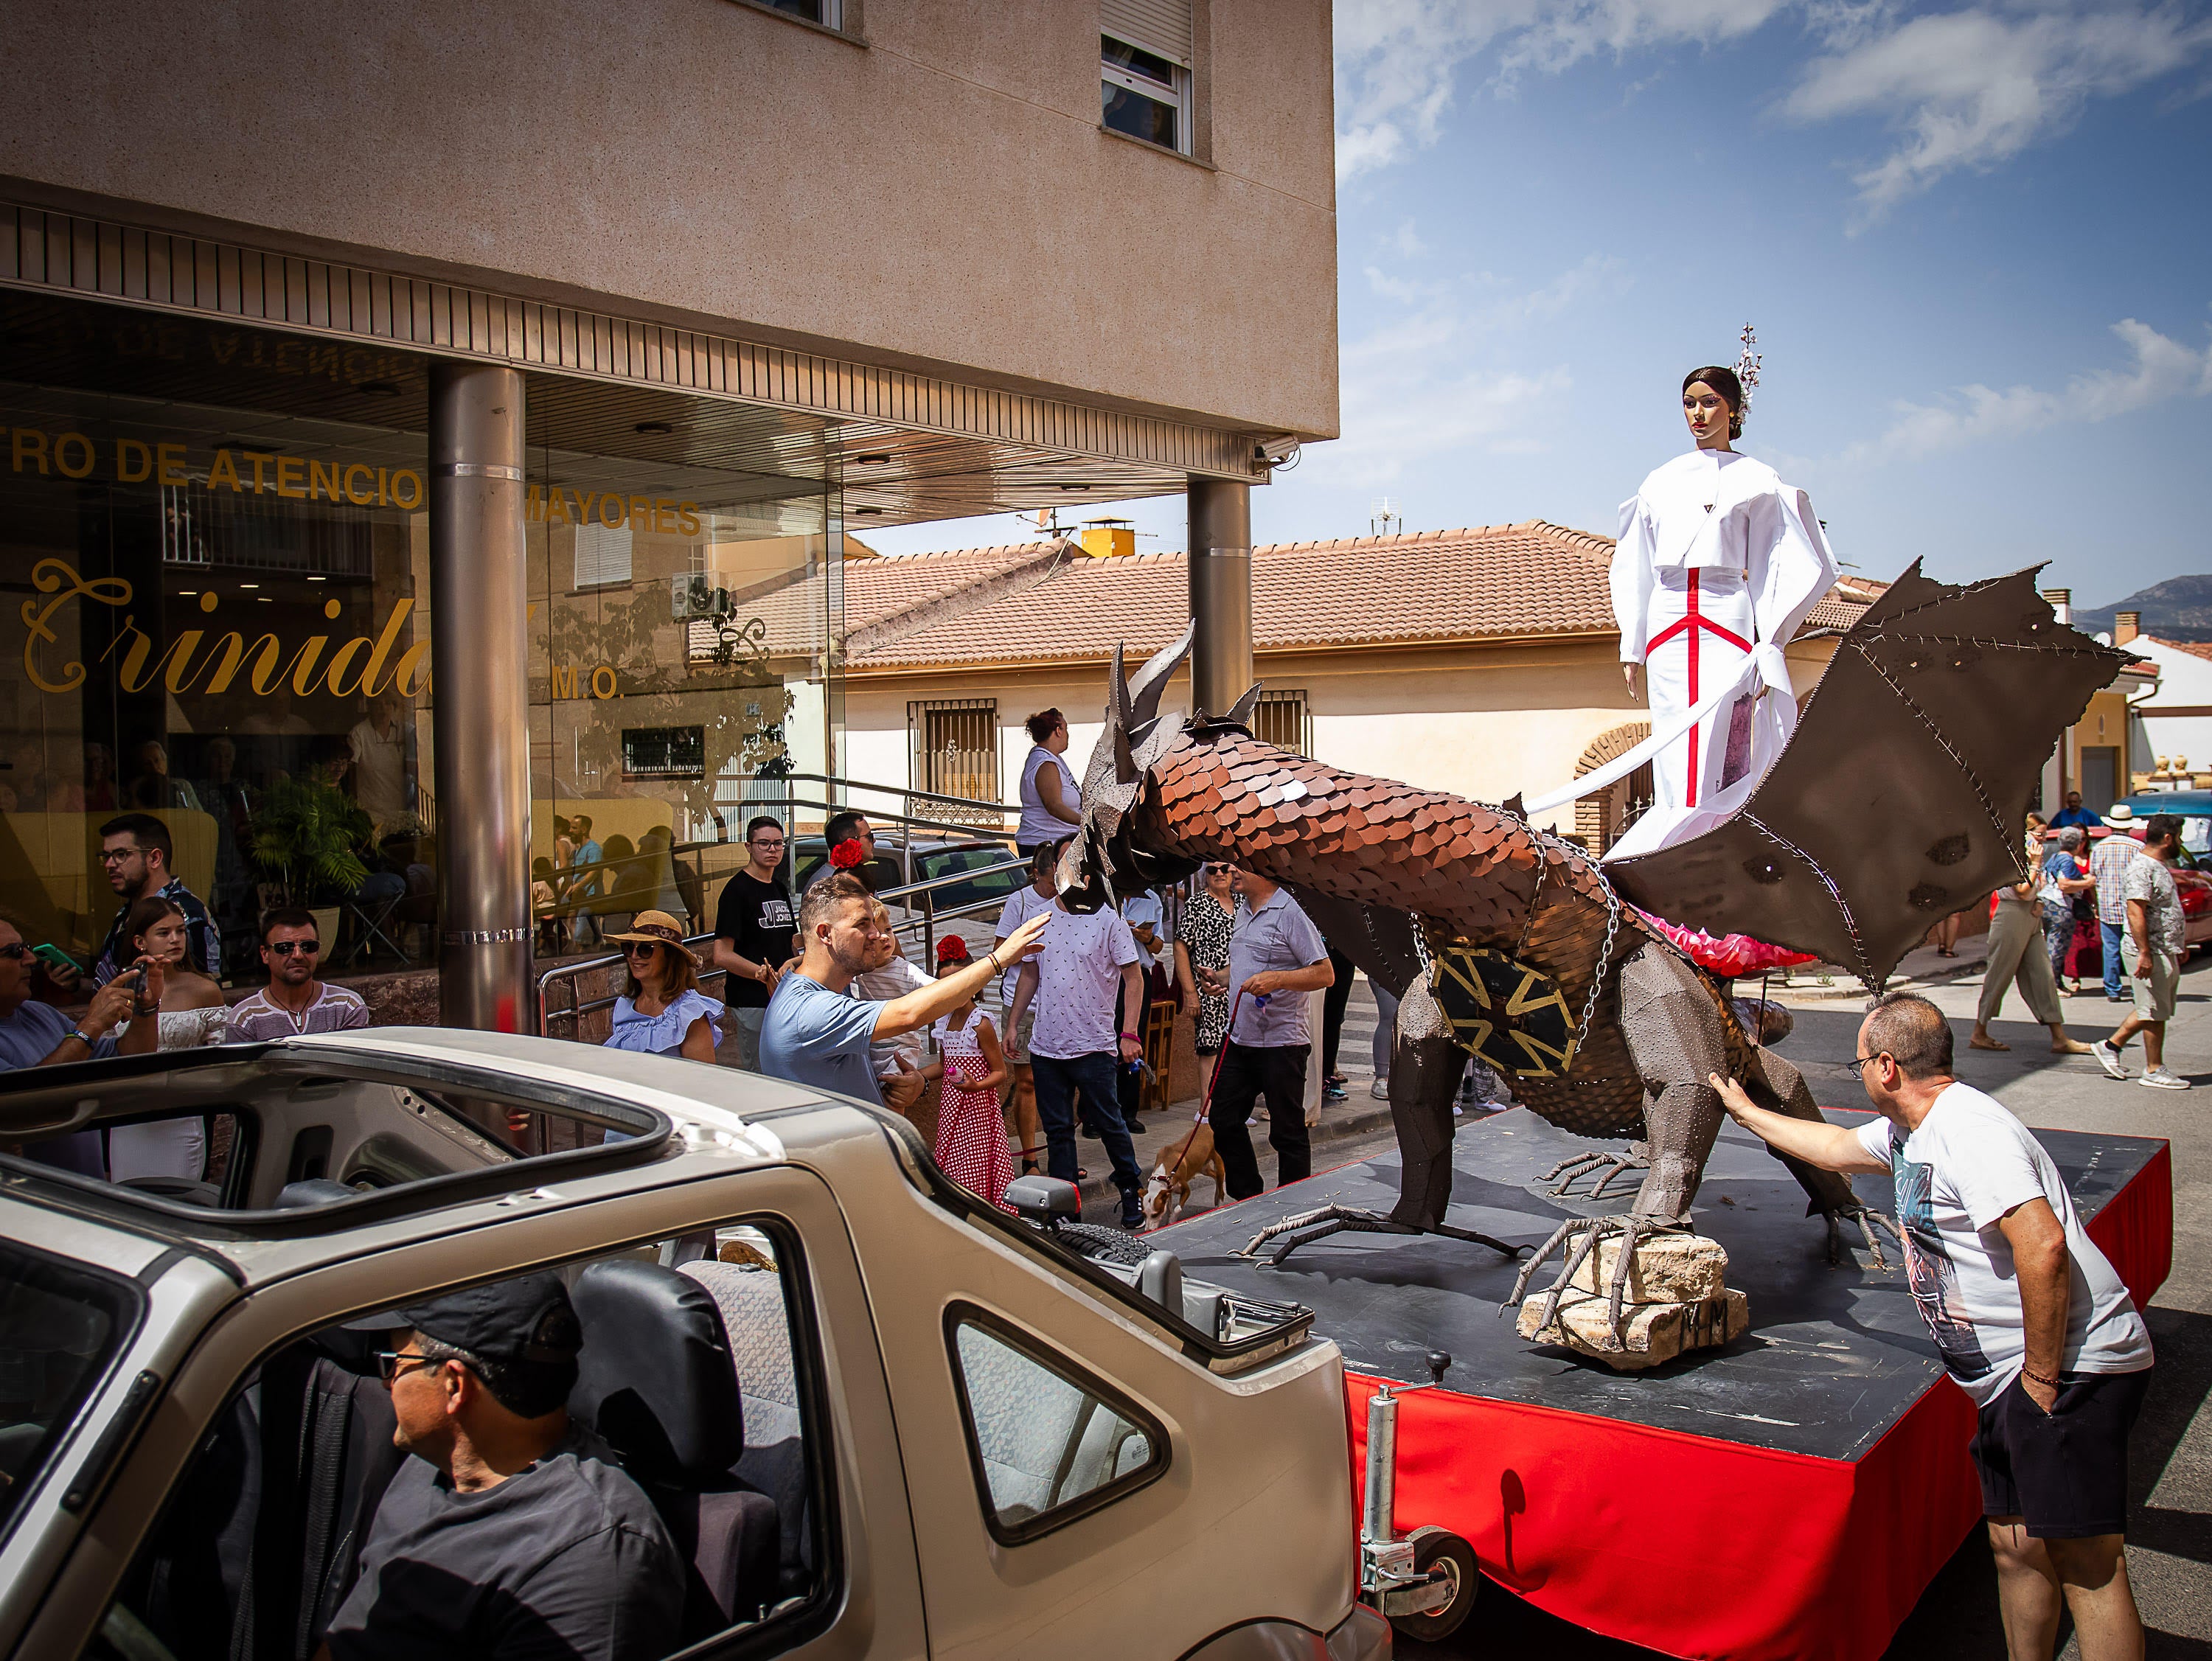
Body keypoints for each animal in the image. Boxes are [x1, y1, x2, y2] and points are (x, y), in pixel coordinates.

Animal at [1141, 1124, 1230, 1230]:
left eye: (1155, 1214)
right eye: (1144, 1214)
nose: (1148, 1230)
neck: (1163, 1175)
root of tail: (1207, 1125)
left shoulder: (1186, 1190)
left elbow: (1177, 1209)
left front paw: (1172, 1219)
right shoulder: (1168, 1191)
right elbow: (1169, 1208)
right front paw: (1170, 1220)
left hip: (1218, 1162)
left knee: (1221, 1186)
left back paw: (1220, 1203)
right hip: (1203, 1167)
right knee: (1215, 1176)